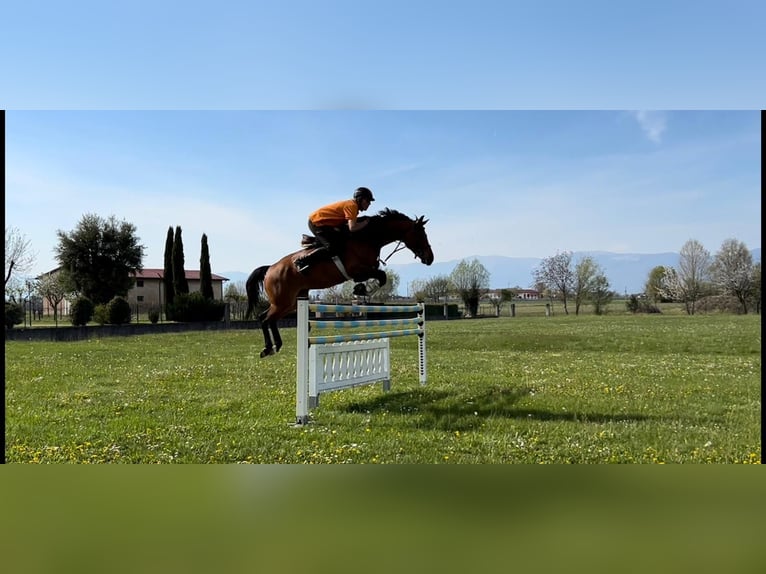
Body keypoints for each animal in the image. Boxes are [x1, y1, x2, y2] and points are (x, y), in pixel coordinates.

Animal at [245, 208, 434, 358]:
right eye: (421, 234)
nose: (430, 258)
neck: (368, 237)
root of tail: (270, 269)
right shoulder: (357, 270)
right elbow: (381, 276)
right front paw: (361, 291)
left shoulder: (365, 270)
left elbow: (380, 276)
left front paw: (360, 290)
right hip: (283, 301)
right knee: (266, 318)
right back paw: (269, 348)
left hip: (291, 302)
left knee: (266, 317)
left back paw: (274, 346)